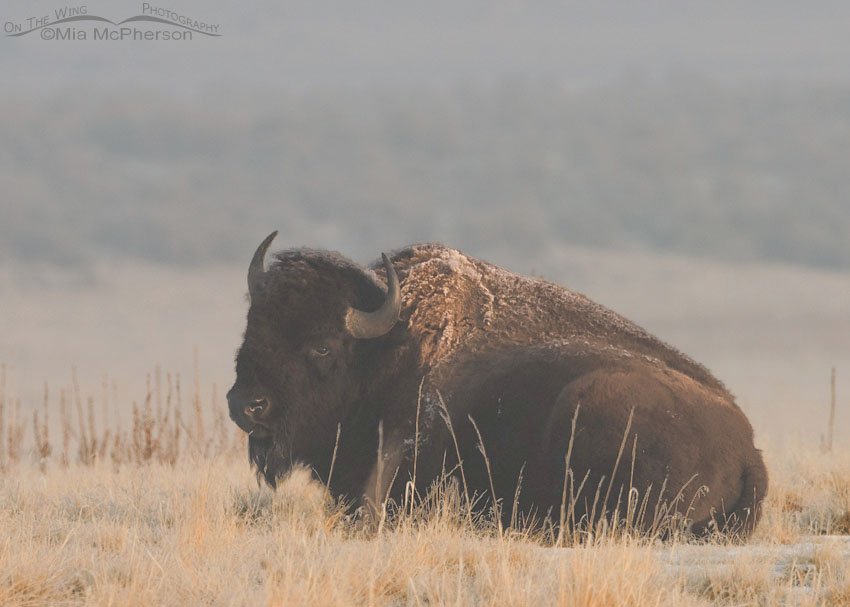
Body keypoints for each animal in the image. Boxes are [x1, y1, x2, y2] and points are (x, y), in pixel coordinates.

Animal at [227, 232, 768, 539]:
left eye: (323, 347)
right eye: (252, 328)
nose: (246, 405)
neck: (387, 348)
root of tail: (748, 452)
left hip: (587, 403)